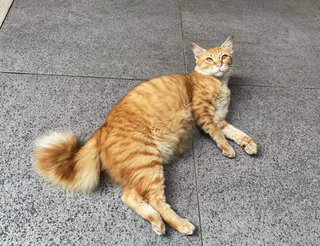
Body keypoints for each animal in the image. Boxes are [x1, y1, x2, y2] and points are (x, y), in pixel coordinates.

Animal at [33, 36, 258, 234]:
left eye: (224, 56)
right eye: (209, 59)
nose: (219, 65)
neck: (218, 83)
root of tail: (101, 128)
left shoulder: (220, 119)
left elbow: (237, 133)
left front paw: (249, 144)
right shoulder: (204, 115)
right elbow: (220, 136)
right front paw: (228, 149)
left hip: (141, 168)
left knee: (129, 196)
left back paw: (156, 222)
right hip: (148, 162)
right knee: (155, 200)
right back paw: (180, 224)